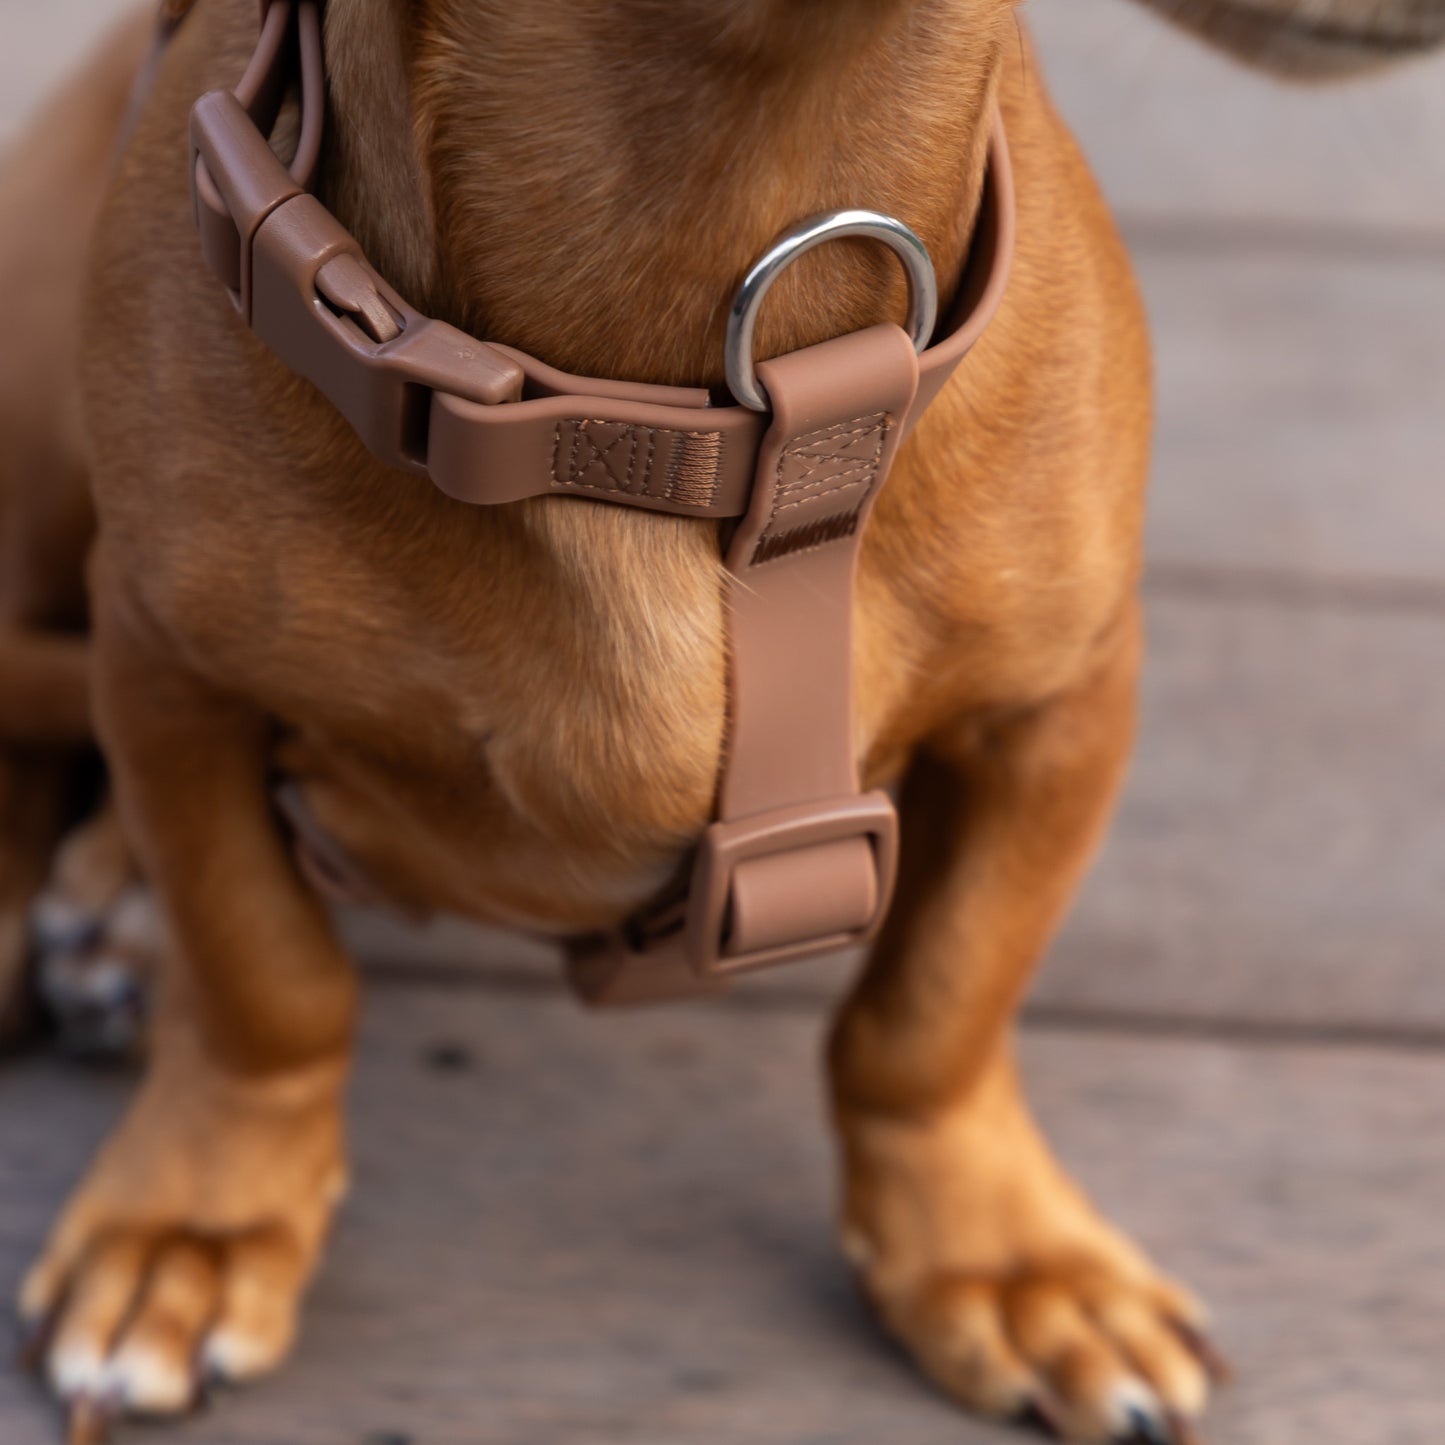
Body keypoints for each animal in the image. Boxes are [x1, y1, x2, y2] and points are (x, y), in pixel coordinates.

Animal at [0, 2, 1439, 1445]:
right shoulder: (165, 668)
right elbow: (261, 976)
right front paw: (195, 1225)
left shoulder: (1058, 705)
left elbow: (936, 1004)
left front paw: (1007, 1263)